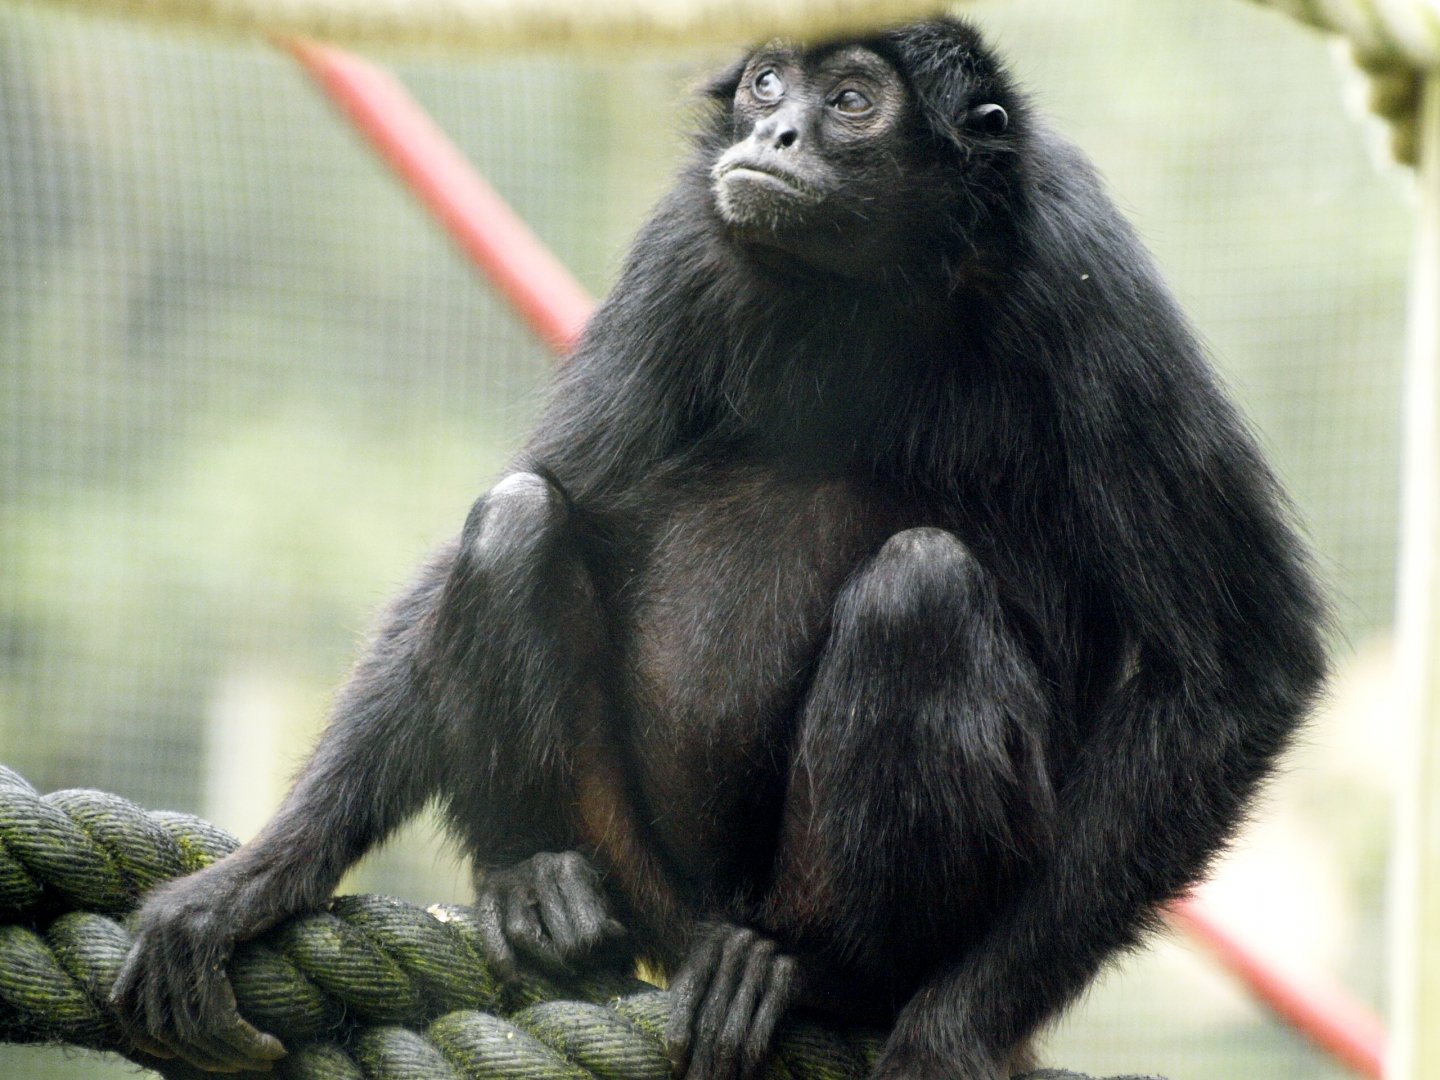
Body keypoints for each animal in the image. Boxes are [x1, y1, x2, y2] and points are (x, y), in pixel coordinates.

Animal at [111, 18, 1327, 1080]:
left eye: (852, 101)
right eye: (766, 86)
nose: (775, 134)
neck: (871, 284)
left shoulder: (1086, 273)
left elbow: (1237, 669)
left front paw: (955, 1030)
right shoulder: (686, 236)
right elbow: (550, 495)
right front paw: (250, 884)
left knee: (921, 589)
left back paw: (819, 976)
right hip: (651, 870)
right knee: (518, 515)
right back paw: (540, 888)